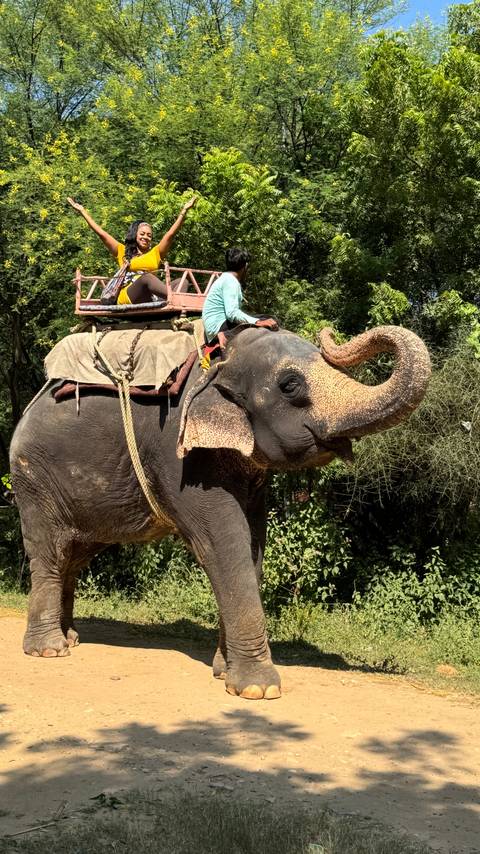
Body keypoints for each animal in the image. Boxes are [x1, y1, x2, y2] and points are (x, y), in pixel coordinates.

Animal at [10, 323, 430, 700]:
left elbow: (252, 545)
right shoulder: (180, 456)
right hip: (34, 480)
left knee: (73, 557)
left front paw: (223, 672)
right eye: (290, 385)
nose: (329, 335)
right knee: (50, 553)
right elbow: (223, 546)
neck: (221, 361)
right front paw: (258, 689)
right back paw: (50, 650)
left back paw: (71, 638)